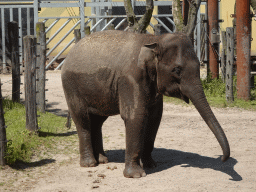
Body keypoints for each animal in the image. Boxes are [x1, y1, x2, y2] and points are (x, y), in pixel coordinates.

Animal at [61, 30, 230, 178]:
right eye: (177, 70)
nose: (222, 158)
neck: (154, 39)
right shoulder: (130, 79)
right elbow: (136, 116)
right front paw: (136, 175)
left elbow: (155, 118)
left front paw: (151, 165)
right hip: (71, 87)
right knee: (82, 121)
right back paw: (89, 164)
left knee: (97, 122)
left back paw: (103, 160)